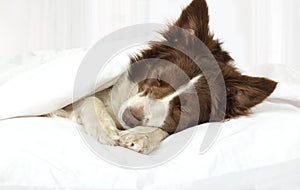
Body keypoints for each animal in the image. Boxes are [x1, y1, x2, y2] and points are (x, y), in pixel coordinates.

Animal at [50, 0, 278, 154]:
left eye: (182, 109)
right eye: (160, 77)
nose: (130, 117)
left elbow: (164, 128)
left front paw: (141, 134)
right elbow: (91, 100)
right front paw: (105, 128)